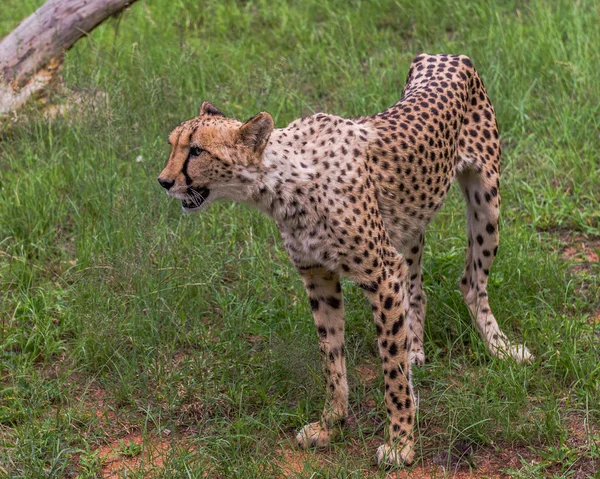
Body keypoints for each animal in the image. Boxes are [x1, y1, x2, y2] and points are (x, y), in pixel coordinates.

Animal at [157, 54, 532, 466]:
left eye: (196, 151)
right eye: (173, 146)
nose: (163, 181)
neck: (281, 184)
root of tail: (443, 55)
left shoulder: (381, 274)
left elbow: (391, 371)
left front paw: (401, 443)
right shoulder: (318, 276)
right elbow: (331, 358)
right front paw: (330, 424)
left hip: (487, 200)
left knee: (472, 282)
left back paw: (500, 348)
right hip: (408, 224)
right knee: (417, 287)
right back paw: (417, 348)